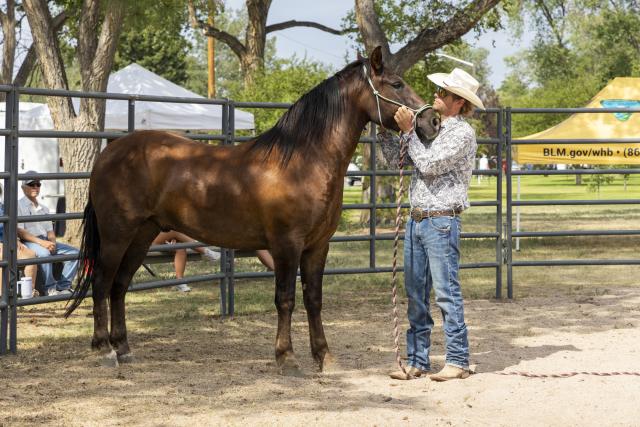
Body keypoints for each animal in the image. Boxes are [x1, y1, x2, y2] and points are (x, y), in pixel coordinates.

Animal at [65, 46, 441, 375]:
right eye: (396, 84)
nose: (433, 121)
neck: (303, 161)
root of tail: (109, 153)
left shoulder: (318, 246)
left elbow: (314, 299)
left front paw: (325, 357)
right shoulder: (286, 245)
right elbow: (286, 299)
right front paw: (287, 359)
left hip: (143, 235)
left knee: (119, 286)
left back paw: (124, 348)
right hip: (117, 235)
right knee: (102, 282)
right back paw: (104, 349)